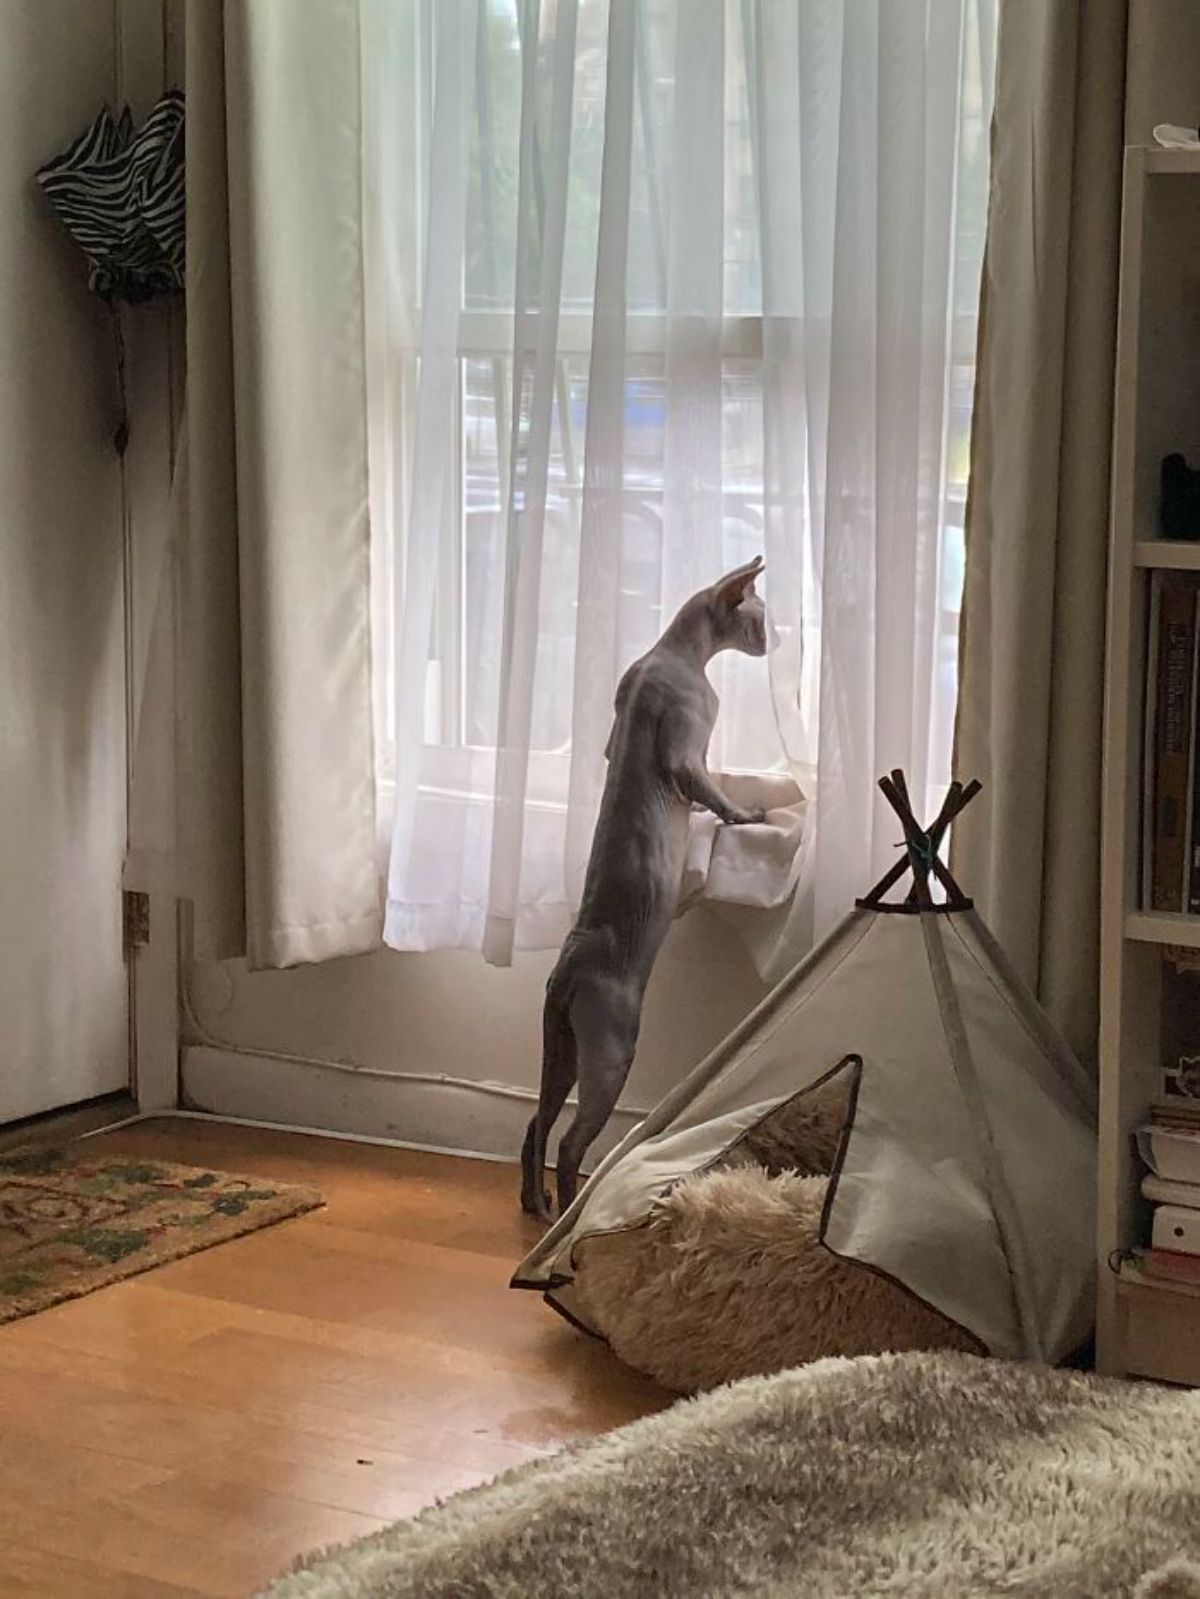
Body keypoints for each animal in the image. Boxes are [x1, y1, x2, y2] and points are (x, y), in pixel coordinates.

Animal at [524, 556, 771, 1215]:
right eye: (761, 619)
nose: (774, 642)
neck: (673, 654)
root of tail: (570, 963)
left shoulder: (616, 736)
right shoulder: (687, 752)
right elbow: (715, 795)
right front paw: (749, 815)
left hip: (561, 1051)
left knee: (536, 1125)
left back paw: (534, 1203)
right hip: (611, 1057)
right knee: (569, 1142)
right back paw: (567, 1208)